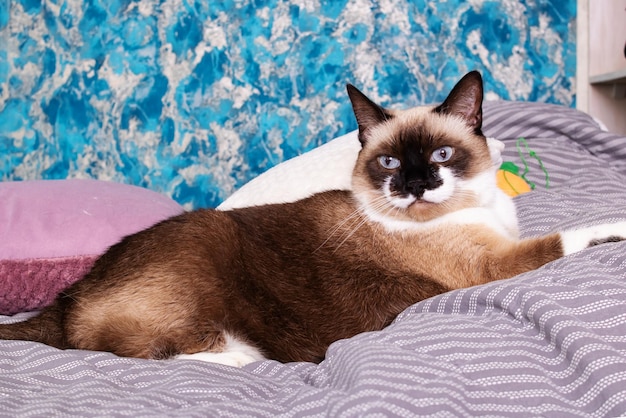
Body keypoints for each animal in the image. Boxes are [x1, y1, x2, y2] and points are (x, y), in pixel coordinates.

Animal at [1, 71, 624, 366]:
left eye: (442, 155)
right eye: (390, 162)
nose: (414, 186)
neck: (476, 209)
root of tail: (68, 297)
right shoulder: (491, 267)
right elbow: (568, 237)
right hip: (202, 272)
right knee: (140, 352)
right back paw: (240, 360)